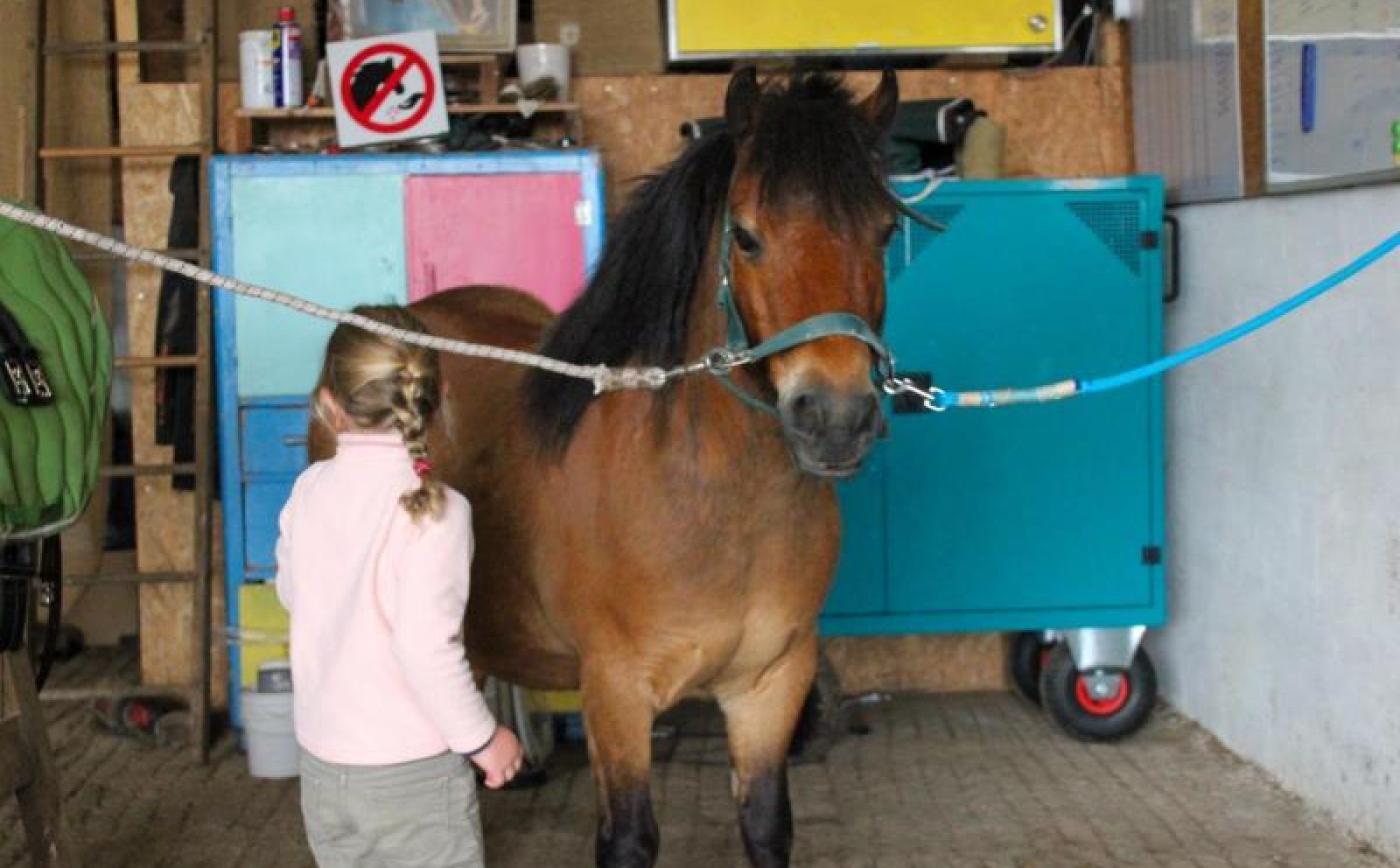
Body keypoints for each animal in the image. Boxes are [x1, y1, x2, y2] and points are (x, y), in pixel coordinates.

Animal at [317, 69, 896, 868]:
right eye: (747, 236)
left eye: (885, 232)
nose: (836, 418)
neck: (710, 503)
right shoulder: (616, 693)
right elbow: (627, 838)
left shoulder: (770, 685)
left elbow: (766, 825)